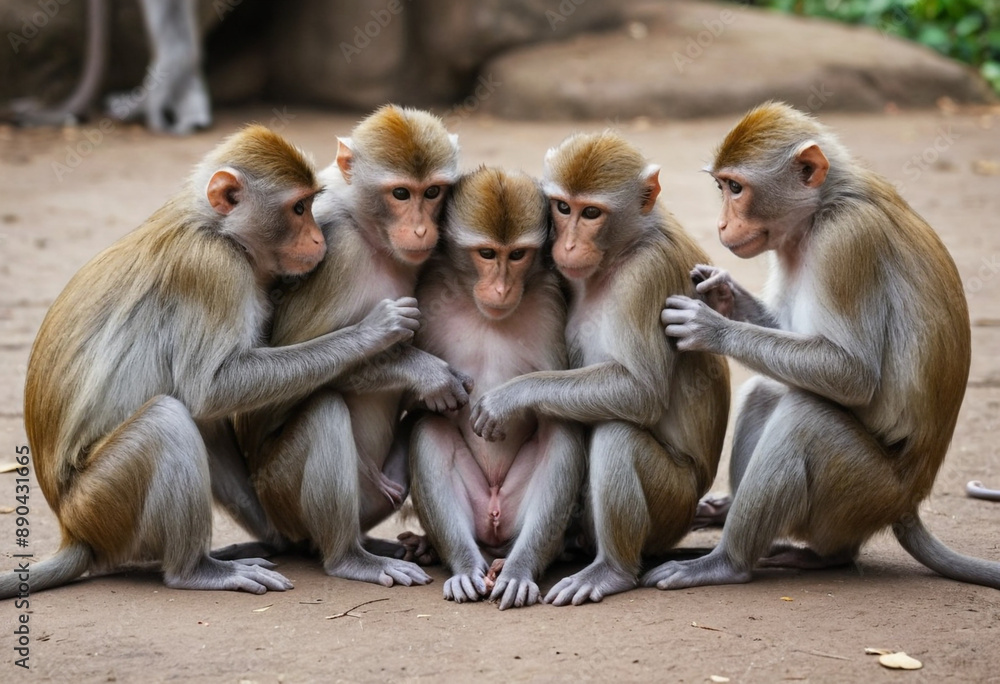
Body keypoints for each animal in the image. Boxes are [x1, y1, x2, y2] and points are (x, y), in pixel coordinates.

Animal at [0, 124, 423, 599]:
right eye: (299, 207)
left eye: (311, 205)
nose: (318, 239)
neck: (218, 230)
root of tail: (73, 531)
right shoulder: (214, 269)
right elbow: (211, 387)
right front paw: (378, 336)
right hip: (101, 505)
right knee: (168, 418)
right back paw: (203, 570)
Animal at [233, 105, 472, 588]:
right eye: (400, 193)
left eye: (432, 191)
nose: (422, 228)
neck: (368, 234)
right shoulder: (339, 256)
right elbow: (262, 403)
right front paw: (426, 372)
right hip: (280, 495)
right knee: (323, 408)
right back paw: (350, 558)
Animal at [406, 166, 585, 610]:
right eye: (487, 254)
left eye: (516, 255)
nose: (502, 289)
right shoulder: (427, 295)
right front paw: (436, 386)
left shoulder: (552, 305)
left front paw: (505, 405)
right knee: (429, 428)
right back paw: (465, 566)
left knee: (560, 431)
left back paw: (518, 568)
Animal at [470, 132, 731, 605]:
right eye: (563, 207)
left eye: (591, 212)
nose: (568, 245)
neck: (624, 248)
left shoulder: (647, 277)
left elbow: (641, 391)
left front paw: (510, 398)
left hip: (673, 505)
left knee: (617, 434)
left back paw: (611, 570)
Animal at [645, 101, 1000, 591]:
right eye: (721, 187)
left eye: (736, 187)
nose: (721, 223)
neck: (820, 209)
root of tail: (909, 500)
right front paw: (721, 293)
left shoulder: (846, 240)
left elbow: (852, 373)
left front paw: (710, 325)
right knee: (769, 391)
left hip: (863, 491)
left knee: (805, 419)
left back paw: (729, 563)